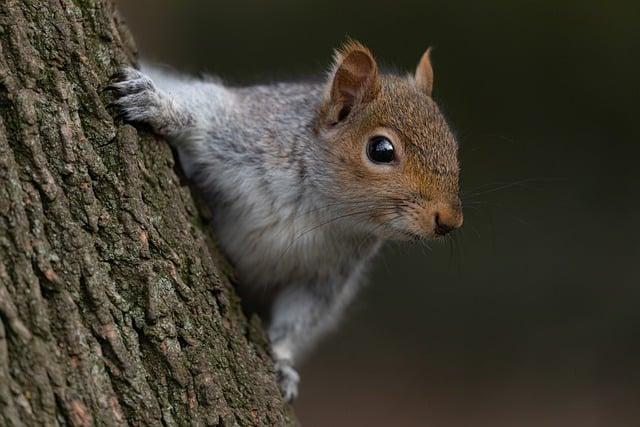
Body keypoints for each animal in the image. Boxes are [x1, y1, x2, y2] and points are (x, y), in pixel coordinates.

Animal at [109, 41, 460, 402]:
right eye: (381, 150)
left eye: (454, 147)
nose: (450, 220)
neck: (317, 206)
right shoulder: (247, 129)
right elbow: (204, 109)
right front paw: (158, 103)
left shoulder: (325, 277)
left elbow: (299, 318)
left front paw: (282, 361)